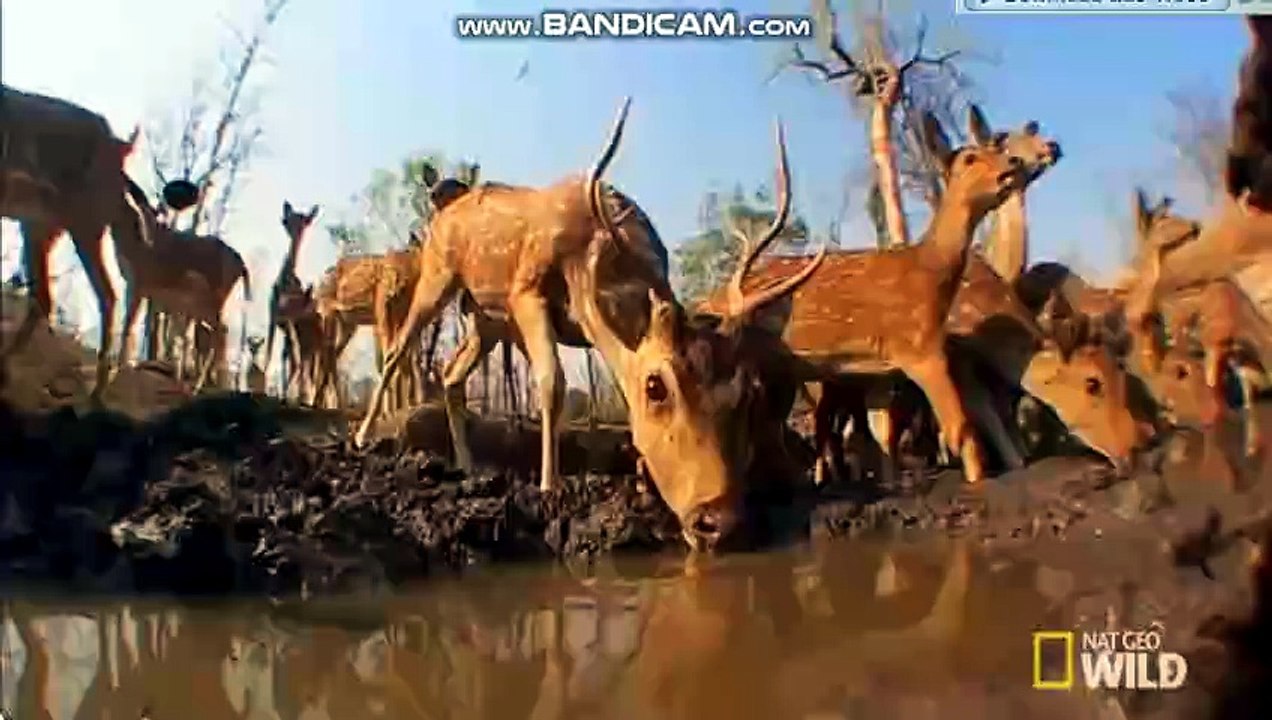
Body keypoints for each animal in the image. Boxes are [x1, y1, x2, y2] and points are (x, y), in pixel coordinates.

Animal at [0, 85, 150, 401]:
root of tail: (119, 147)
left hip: (83, 230)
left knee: (108, 297)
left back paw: (99, 389)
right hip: (41, 229)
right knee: (45, 299)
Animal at [113, 177, 252, 392]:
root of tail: (240, 262)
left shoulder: (138, 286)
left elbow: (130, 323)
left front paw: (121, 366)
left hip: (210, 305)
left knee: (220, 332)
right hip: (201, 310)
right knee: (212, 335)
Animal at [351, 98, 825, 551]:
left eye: (748, 392)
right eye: (657, 386)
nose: (718, 522)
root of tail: (442, 212)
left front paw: (640, 477)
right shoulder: (527, 291)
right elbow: (551, 380)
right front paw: (549, 485)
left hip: (486, 320)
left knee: (451, 373)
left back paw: (468, 466)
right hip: (438, 275)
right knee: (398, 348)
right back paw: (362, 436)